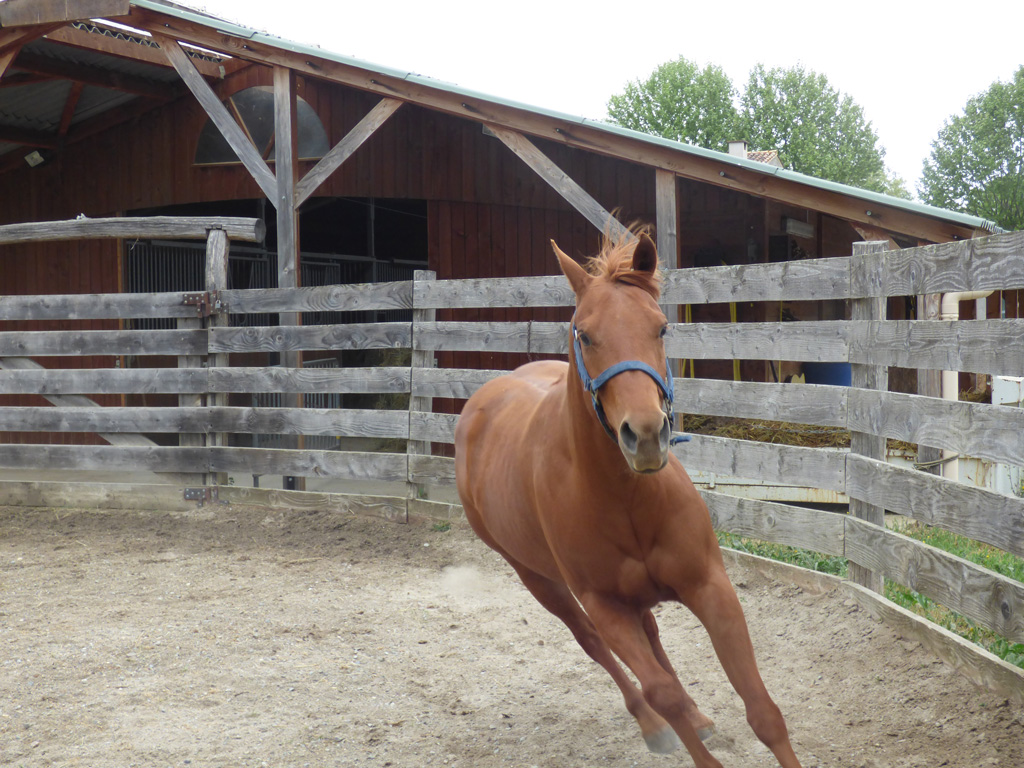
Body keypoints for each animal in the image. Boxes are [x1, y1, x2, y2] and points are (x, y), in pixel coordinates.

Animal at [454, 229, 803, 768]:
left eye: (660, 328)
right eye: (585, 335)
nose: (645, 436)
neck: (624, 496)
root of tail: (483, 401)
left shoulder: (711, 587)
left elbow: (761, 708)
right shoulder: (607, 606)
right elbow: (661, 691)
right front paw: (672, 724)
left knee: (653, 634)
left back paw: (700, 718)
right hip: (538, 579)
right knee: (594, 645)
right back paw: (653, 724)